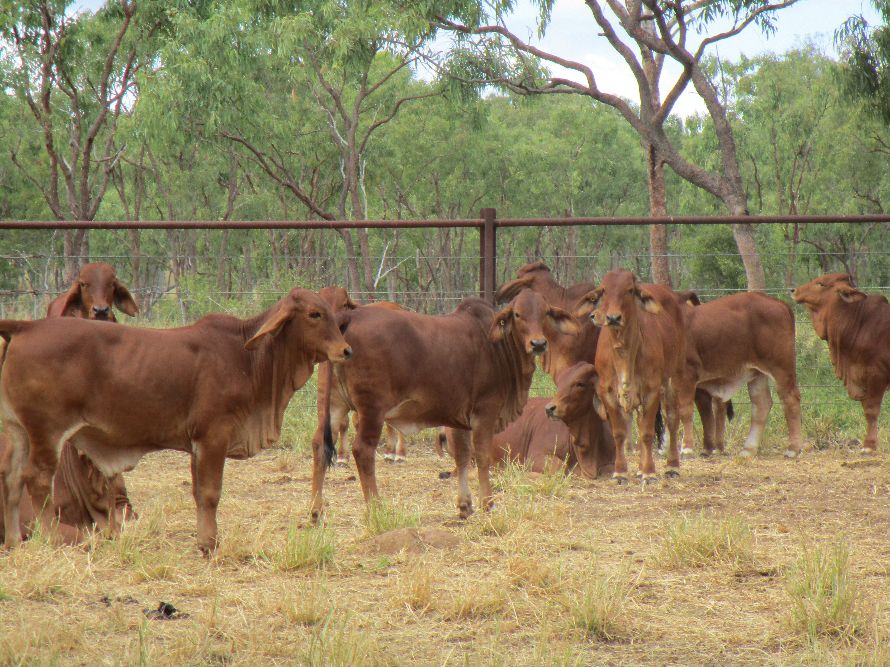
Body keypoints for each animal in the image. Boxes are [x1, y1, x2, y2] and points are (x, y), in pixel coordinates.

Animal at [310, 290, 576, 524]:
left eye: (545, 313)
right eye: (518, 314)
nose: (538, 344)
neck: (497, 346)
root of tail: (349, 316)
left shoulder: (459, 419)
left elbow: (462, 457)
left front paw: (465, 505)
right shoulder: (485, 411)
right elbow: (482, 456)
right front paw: (487, 503)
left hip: (331, 405)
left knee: (319, 446)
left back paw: (316, 511)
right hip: (371, 409)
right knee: (363, 451)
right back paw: (376, 508)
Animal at [668, 292, 800, 460]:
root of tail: (779, 303)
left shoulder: (687, 376)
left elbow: (686, 410)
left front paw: (687, 448)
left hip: (781, 367)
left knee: (790, 399)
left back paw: (793, 449)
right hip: (757, 373)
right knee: (761, 404)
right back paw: (748, 449)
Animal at [792, 272, 888, 454]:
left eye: (821, 284)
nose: (794, 290)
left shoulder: (877, 374)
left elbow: (871, 410)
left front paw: (869, 445)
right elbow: (866, 409)